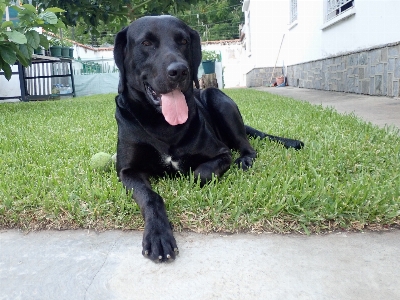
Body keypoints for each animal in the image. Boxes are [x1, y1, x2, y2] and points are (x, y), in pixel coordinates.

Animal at [113, 15, 304, 262]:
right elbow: (150, 196)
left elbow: (200, 174)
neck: (162, 123)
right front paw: (158, 235)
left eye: (183, 41)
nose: (180, 71)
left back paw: (245, 159)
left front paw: (190, 174)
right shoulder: (127, 171)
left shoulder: (221, 153)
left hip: (217, 98)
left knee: (247, 146)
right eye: (146, 43)